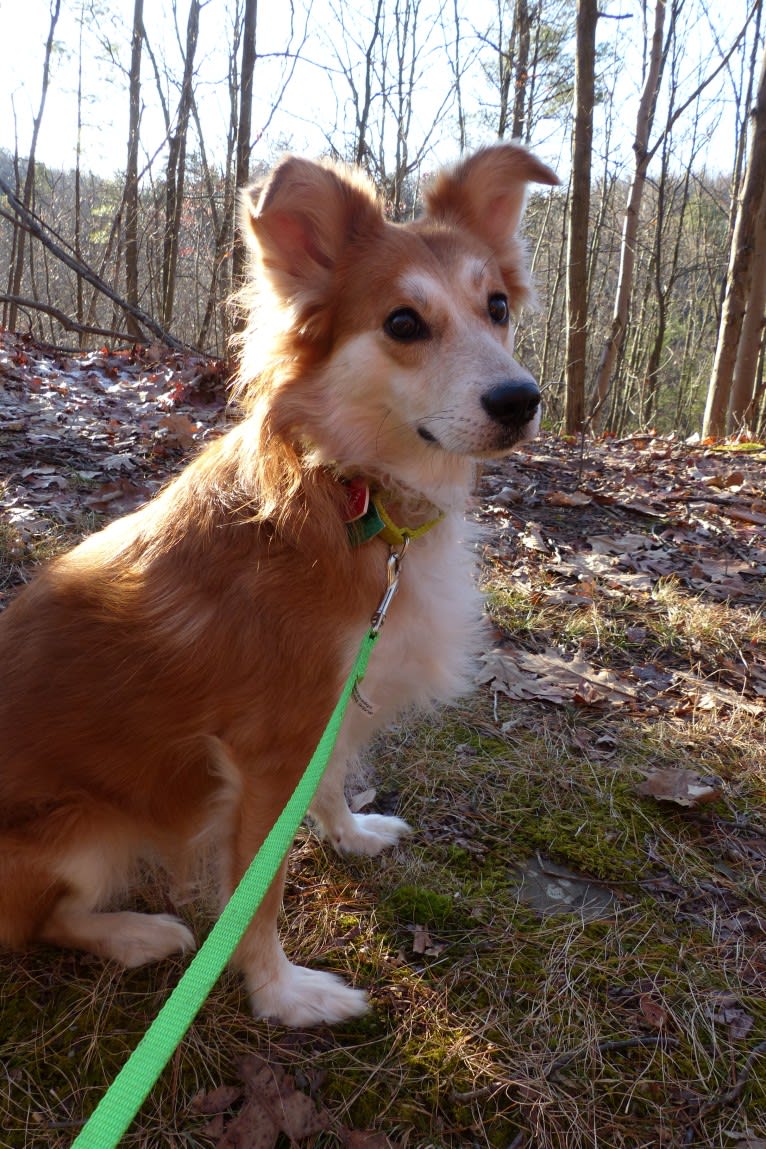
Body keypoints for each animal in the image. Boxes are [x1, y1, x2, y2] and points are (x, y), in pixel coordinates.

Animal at [0, 141, 558, 1024]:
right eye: (404, 322)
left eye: (497, 306)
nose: (520, 399)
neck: (356, 496)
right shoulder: (268, 751)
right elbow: (256, 894)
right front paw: (281, 992)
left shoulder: (329, 711)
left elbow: (328, 786)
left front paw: (351, 833)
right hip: (84, 830)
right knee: (41, 921)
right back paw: (134, 933)